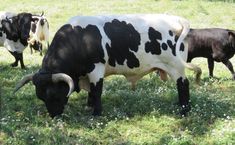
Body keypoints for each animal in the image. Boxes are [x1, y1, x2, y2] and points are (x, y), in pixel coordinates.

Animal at [15, 13, 202, 118]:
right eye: (41, 97)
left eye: (54, 95)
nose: (54, 116)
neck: (78, 39)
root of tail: (176, 19)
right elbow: (91, 91)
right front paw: (89, 105)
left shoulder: (96, 69)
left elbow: (96, 90)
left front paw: (96, 113)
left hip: (176, 66)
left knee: (183, 84)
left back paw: (184, 110)